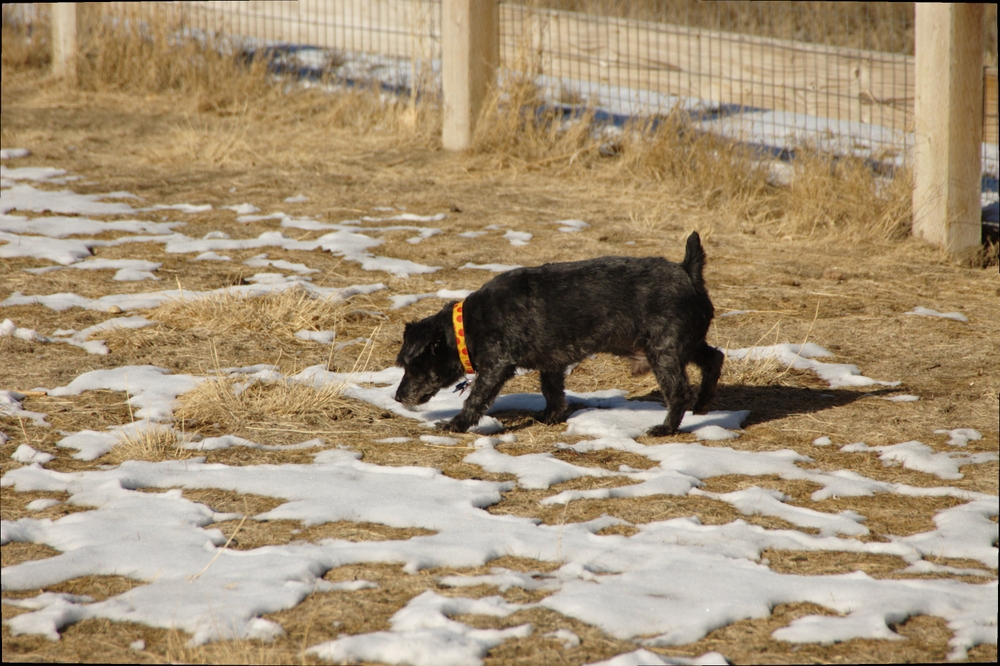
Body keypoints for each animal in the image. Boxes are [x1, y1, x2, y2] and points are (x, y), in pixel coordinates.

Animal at [394, 231, 723, 436]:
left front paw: (456, 424)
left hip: (664, 350)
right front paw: (551, 417)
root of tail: (688, 271)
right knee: (714, 358)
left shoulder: (497, 365)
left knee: (679, 390)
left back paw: (666, 427)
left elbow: (476, 398)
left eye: (411, 366)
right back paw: (702, 403)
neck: (468, 325)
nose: (397, 397)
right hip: (687, 343)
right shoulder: (551, 362)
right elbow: (551, 391)